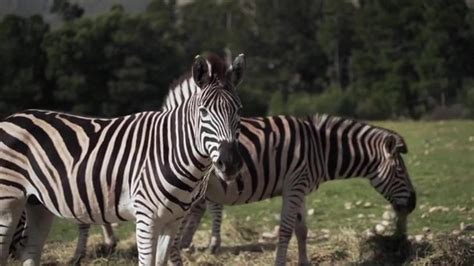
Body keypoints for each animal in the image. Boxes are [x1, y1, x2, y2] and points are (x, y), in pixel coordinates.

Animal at [0, 54, 244, 266]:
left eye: (238, 110)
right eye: (203, 112)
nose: (230, 162)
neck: (172, 151)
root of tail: (11, 118)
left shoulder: (172, 220)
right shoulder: (146, 217)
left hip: (37, 204)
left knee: (30, 252)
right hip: (8, 201)